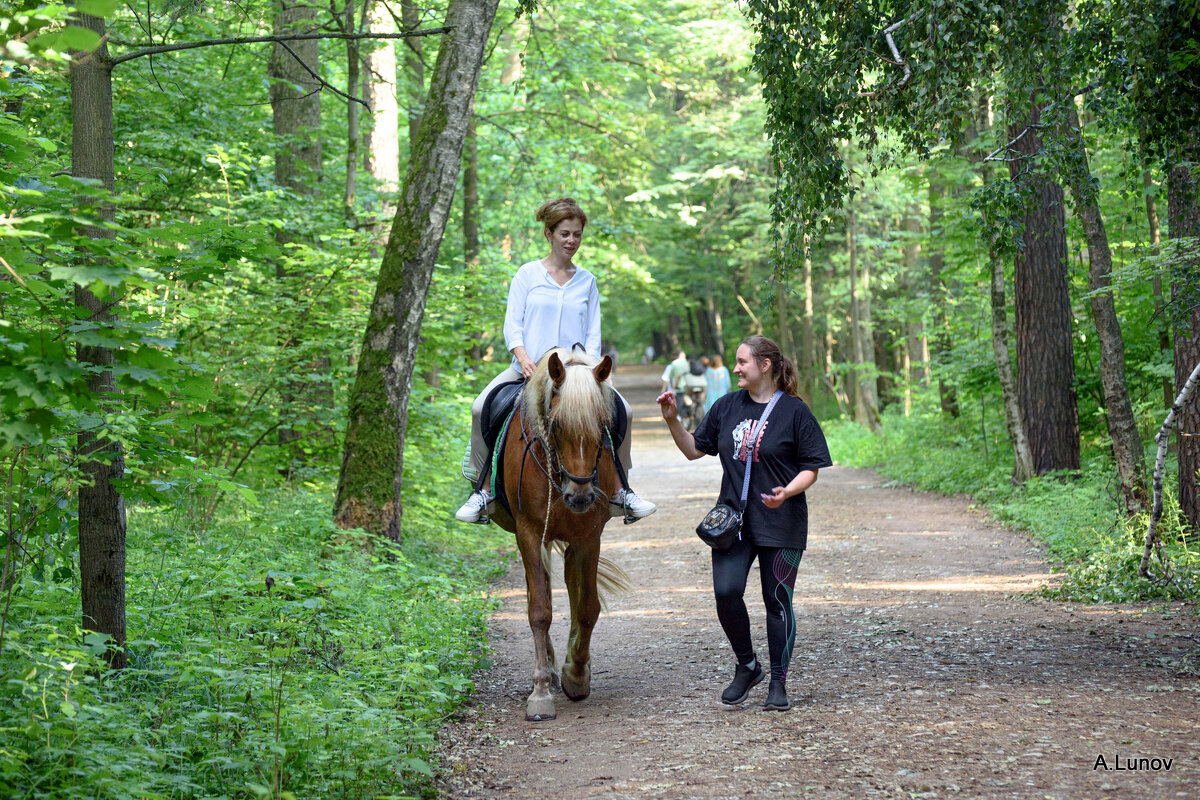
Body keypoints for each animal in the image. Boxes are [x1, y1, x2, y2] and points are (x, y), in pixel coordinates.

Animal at [487, 347, 638, 724]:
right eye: (555, 425)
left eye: (603, 423)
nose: (579, 496)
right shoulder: (528, 534)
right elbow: (539, 611)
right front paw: (541, 692)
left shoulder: (589, 536)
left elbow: (586, 607)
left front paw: (577, 675)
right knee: (540, 596)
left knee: (571, 587)